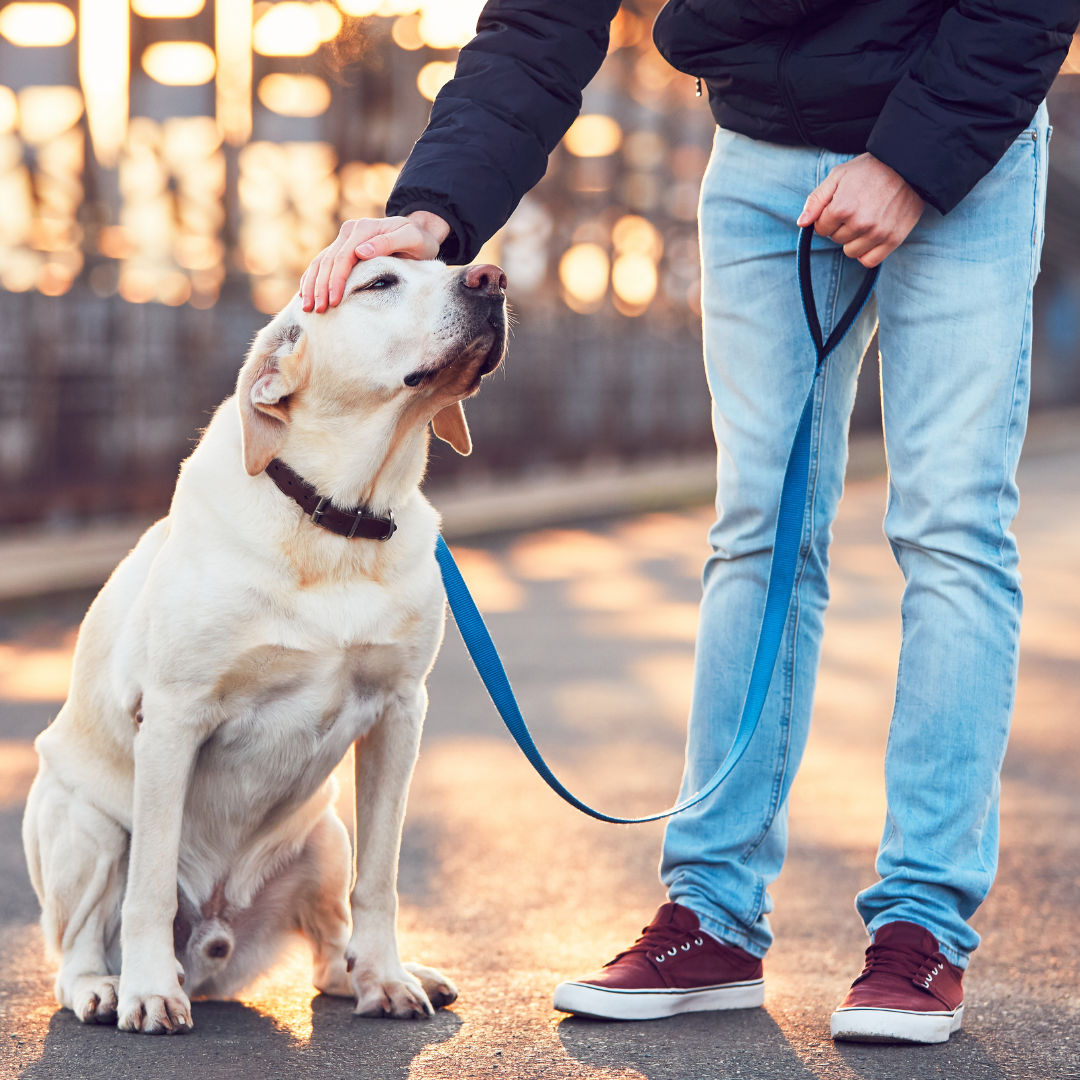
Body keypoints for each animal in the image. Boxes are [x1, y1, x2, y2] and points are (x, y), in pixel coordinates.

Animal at [17, 257, 505, 1032]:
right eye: (379, 282)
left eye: (448, 263)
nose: (491, 278)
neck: (338, 520)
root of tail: (214, 952)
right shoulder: (173, 718)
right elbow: (150, 884)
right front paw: (148, 991)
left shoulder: (400, 713)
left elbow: (381, 881)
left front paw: (387, 977)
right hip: (82, 823)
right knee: (77, 941)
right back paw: (105, 987)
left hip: (326, 834)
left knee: (330, 947)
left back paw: (371, 974)